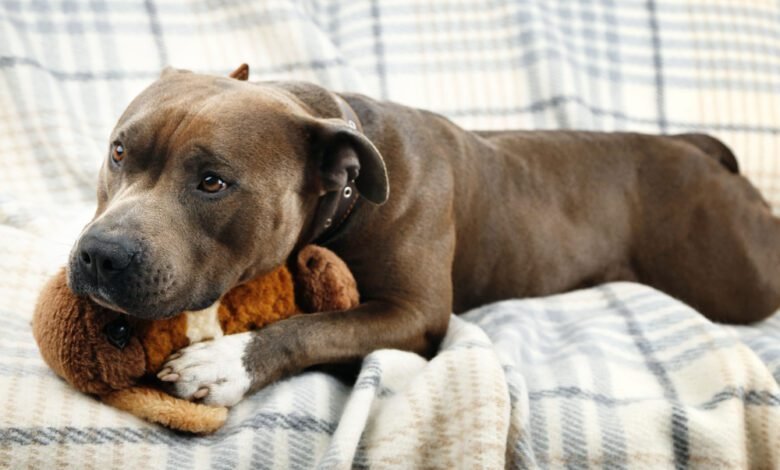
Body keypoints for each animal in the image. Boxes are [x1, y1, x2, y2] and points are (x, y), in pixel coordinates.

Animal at [67, 64, 780, 406]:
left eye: (213, 182)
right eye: (119, 152)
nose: (100, 255)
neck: (345, 185)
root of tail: (696, 148)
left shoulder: (415, 314)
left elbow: (313, 325)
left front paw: (225, 363)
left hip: (736, 274)